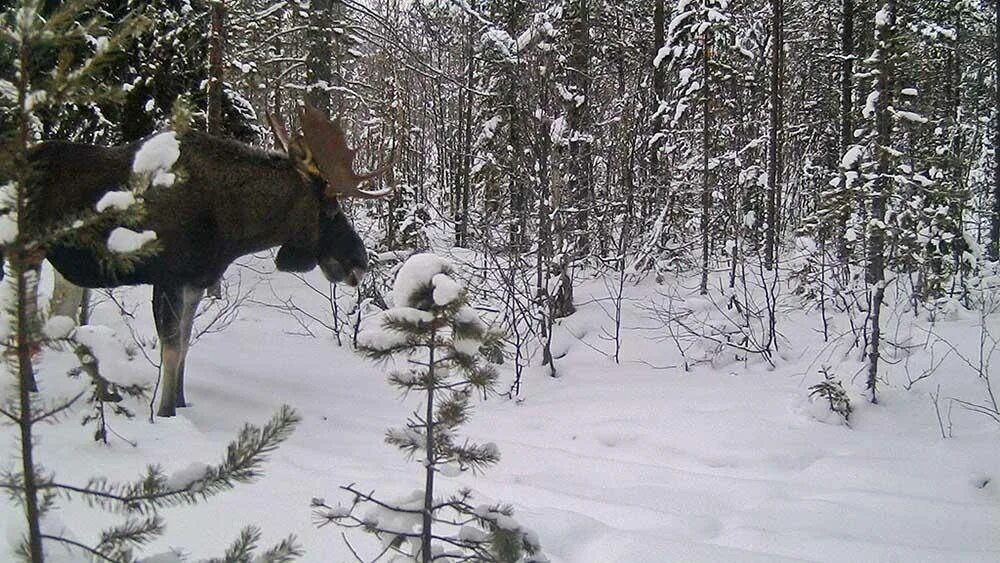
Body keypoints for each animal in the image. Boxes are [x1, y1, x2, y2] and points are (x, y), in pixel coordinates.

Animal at [7, 103, 392, 416]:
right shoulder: (168, 277)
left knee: (56, 321)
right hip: (24, 251)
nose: (359, 261)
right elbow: (171, 346)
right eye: (329, 210)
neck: (233, 227)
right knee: (26, 321)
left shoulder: (196, 281)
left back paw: (91, 389)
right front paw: (165, 412)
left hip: (62, 266)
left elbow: (186, 342)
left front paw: (179, 400)